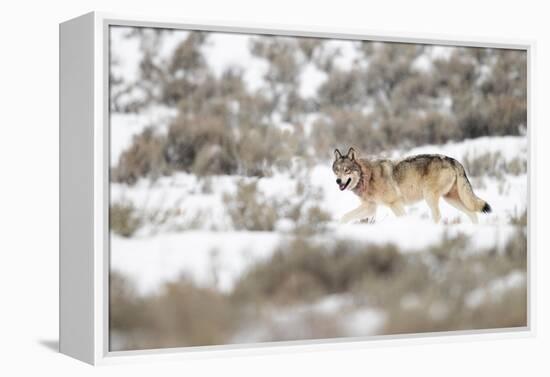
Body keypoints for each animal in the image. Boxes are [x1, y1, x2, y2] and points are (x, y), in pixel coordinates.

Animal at [334, 147, 494, 223]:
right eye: (337, 170)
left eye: (346, 170)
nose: (338, 181)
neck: (367, 176)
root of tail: (453, 160)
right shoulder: (370, 208)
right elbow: (344, 217)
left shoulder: (395, 203)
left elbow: (403, 217)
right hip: (451, 199)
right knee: (472, 213)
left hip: (430, 197)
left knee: (438, 217)